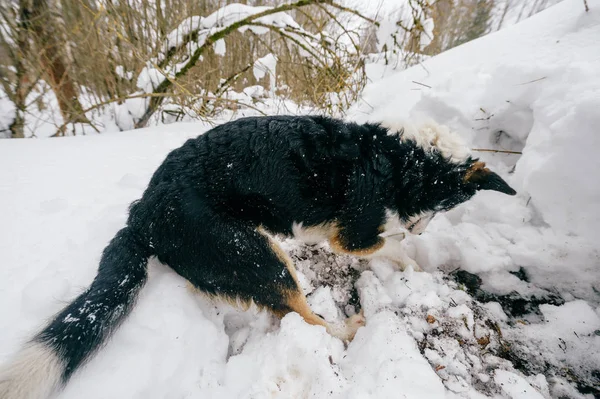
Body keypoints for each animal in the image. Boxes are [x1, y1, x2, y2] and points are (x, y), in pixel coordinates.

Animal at [0, 114, 516, 398]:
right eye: (445, 206)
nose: (420, 226)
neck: (399, 159)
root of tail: (143, 212)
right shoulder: (353, 236)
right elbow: (391, 245)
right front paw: (412, 261)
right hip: (254, 255)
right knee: (301, 315)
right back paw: (346, 329)